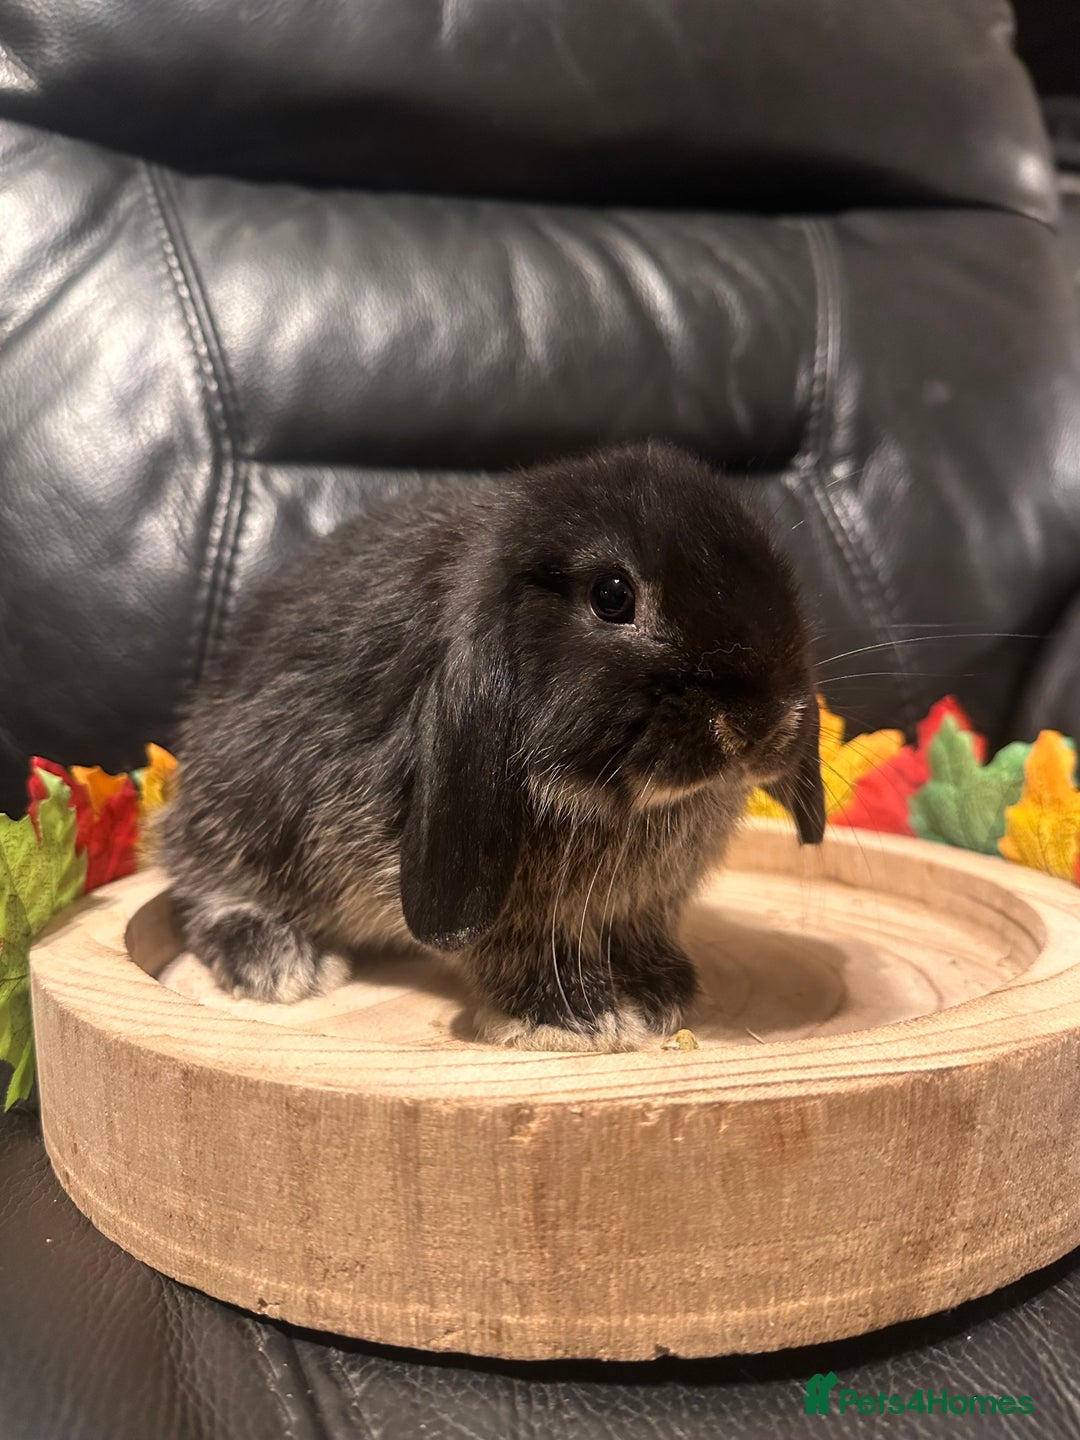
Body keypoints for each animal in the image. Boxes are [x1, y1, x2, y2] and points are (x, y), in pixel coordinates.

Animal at [157, 442, 825, 1052]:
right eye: (612, 596)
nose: (759, 723)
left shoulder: (644, 904)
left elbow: (637, 929)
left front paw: (662, 993)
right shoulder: (492, 897)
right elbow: (516, 949)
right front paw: (575, 1019)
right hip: (250, 811)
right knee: (202, 879)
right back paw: (275, 960)